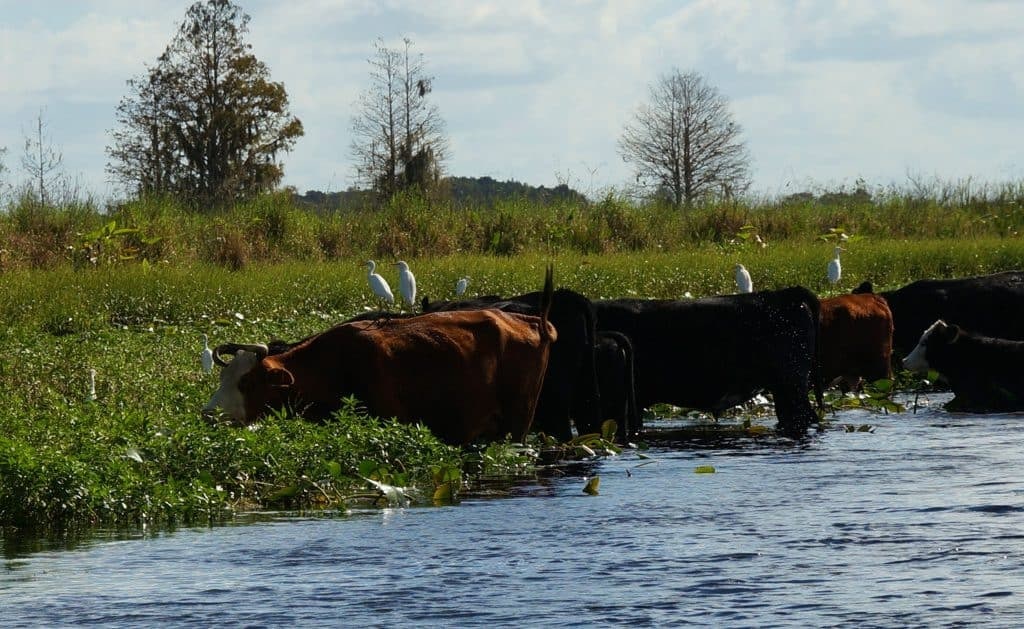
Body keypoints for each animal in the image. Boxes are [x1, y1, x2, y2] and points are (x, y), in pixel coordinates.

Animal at [203, 268, 557, 446]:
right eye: (223, 377)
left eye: (247, 382)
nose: (208, 414)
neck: (333, 365)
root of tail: (535, 321)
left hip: (517, 424)